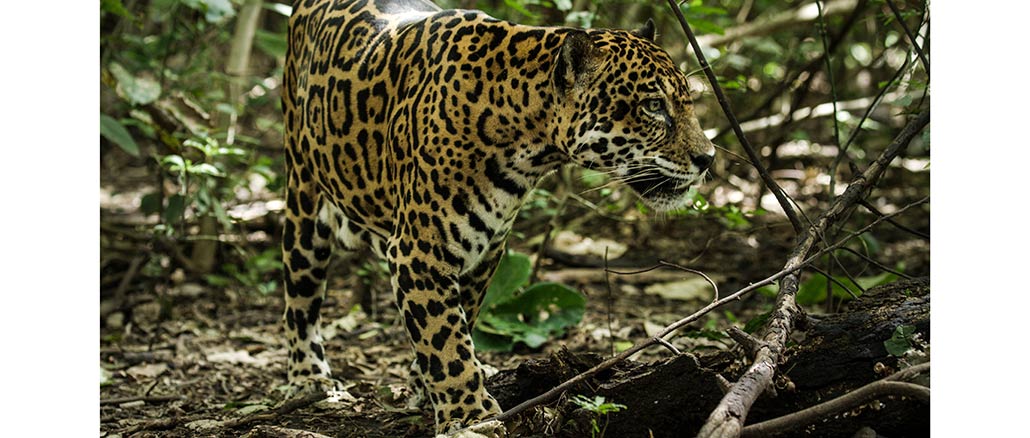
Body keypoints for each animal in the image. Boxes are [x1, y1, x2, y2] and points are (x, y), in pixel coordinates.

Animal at [280, 0, 716, 433]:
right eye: (653, 106)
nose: (708, 158)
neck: (527, 138)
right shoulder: (419, 251)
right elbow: (444, 338)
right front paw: (469, 415)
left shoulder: (484, 250)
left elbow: (458, 321)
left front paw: (425, 388)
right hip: (303, 200)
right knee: (300, 299)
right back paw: (308, 378)